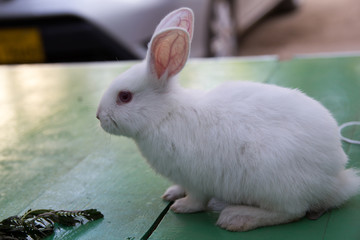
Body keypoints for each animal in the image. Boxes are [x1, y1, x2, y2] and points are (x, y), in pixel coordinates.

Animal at [96, 8, 360, 232]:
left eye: (124, 97)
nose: (99, 116)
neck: (165, 115)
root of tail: (336, 180)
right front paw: (171, 193)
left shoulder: (195, 179)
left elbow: (197, 199)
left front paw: (181, 206)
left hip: (274, 184)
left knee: (291, 212)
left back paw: (236, 218)